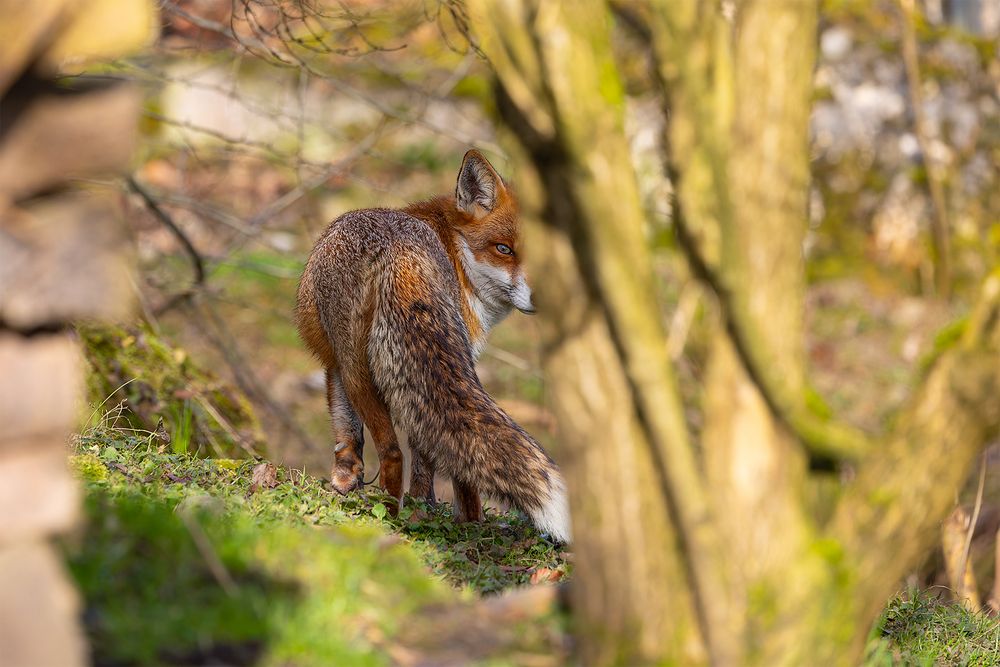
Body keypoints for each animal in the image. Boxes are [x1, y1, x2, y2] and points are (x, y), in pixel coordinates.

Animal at [294, 150, 572, 544]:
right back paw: (391, 516)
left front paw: (350, 486)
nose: (542, 299)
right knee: (396, 451)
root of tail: (398, 250)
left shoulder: (334, 362)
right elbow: (447, 467)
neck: (455, 252)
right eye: (504, 249)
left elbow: (350, 435)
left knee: (391, 447)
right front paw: (467, 521)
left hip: (355, 363)